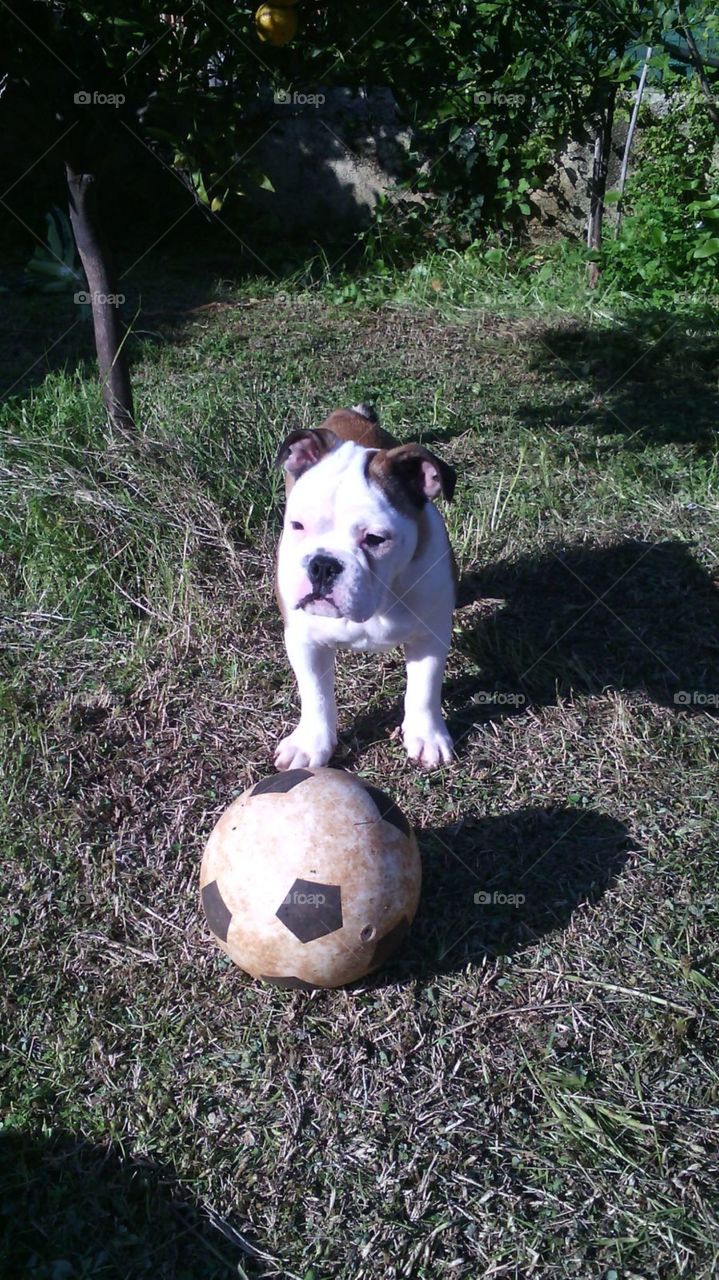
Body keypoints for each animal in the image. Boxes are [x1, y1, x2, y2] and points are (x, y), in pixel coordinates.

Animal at [271, 404, 455, 768]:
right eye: (297, 525)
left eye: (375, 539)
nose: (323, 565)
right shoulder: (304, 640)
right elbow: (315, 694)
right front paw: (311, 744)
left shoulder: (430, 637)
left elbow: (424, 689)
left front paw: (426, 735)